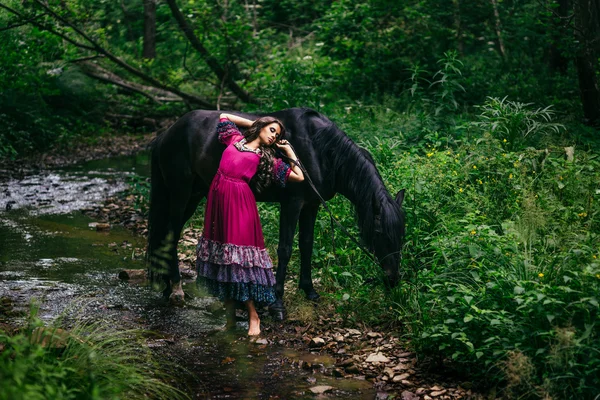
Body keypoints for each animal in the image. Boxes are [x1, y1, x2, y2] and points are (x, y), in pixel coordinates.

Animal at [148, 107, 406, 318]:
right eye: (379, 233)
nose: (393, 279)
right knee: (171, 233)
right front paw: (278, 302)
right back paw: (177, 290)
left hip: (195, 193)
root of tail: (166, 134)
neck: (320, 150)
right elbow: (285, 249)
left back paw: (168, 287)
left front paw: (309, 290)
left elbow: (306, 244)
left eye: (401, 236)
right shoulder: (292, 203)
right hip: (181, 192)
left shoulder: (311, 205)